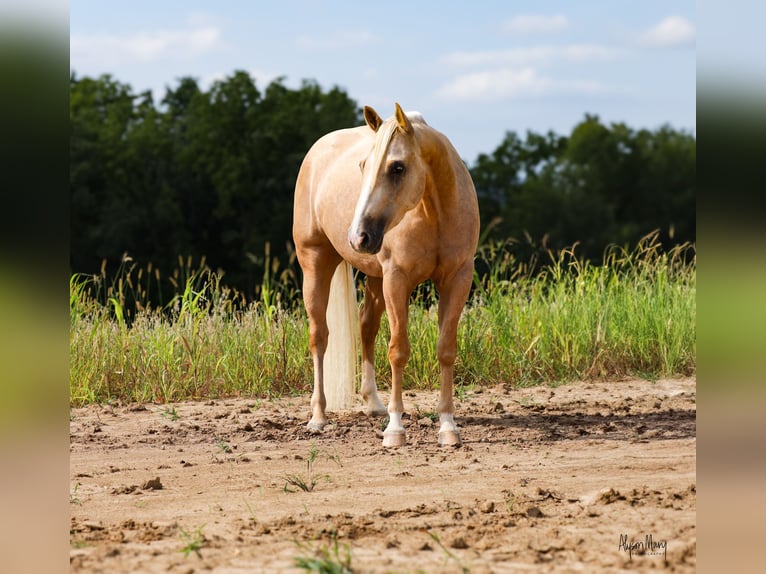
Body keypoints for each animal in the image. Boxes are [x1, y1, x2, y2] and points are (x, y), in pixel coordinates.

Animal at [294, 103, 480, 450]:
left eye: (397, 168)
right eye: (363, 165)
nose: (358, 237)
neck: (433, 211)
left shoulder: (457, 279)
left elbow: (446, 349)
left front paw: (448, 426)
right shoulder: (397, 280)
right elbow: (398, 351)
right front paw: (395, 429)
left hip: (375, 279)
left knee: (366, 328)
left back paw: (372, 403)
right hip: (316, 265)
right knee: (319, 337)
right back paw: (318, 417)